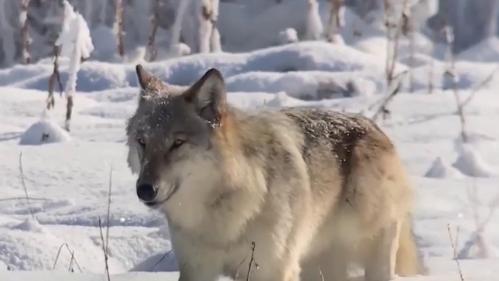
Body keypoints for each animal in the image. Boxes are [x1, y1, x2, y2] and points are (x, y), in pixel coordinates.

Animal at [127, 64, 424, 280]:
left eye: (177, 143)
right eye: (142, 142)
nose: (144, 190)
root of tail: (378, 130)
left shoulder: (272, 269)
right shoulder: (197, 268)